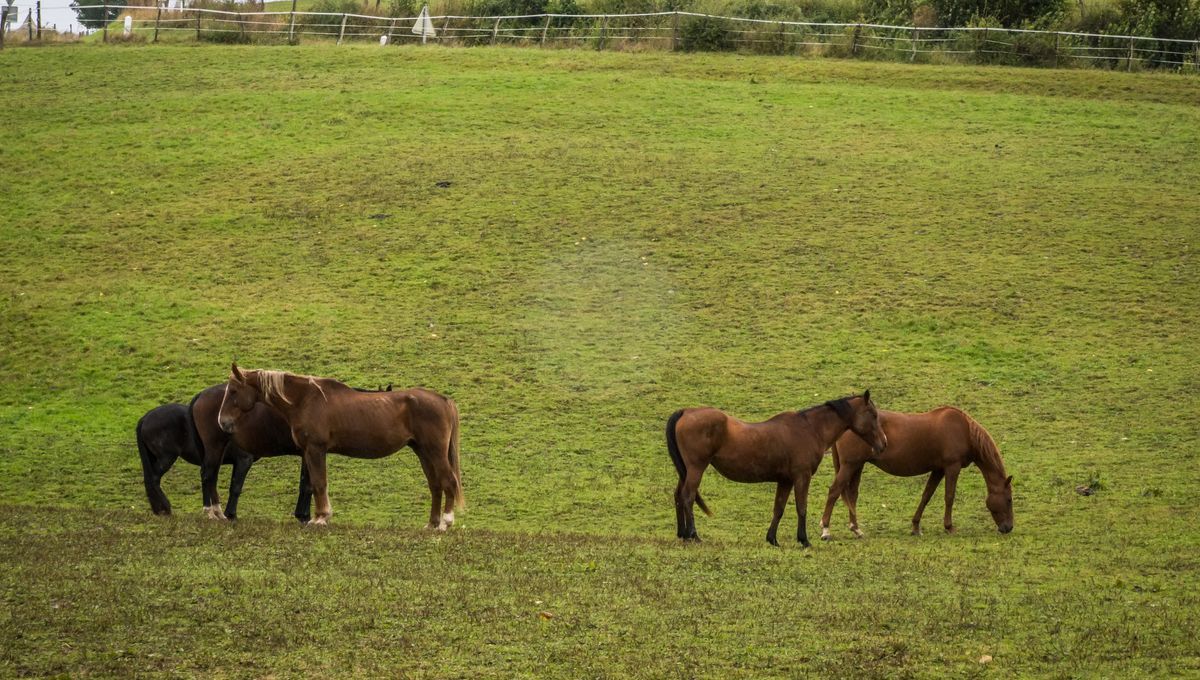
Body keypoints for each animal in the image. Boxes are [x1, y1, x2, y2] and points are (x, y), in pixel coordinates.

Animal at [213, 364, 460, 530]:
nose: (222, 422)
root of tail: (443, 400)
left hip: (435, 452)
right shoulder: (308, 452)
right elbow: (313, 484)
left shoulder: (315, 449)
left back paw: (445, 523)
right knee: (435, 485)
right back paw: (432, 523)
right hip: (423, 452)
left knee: (449, 481)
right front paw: (317, 516)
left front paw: (321, 517)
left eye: (233, 391)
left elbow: (319, 483)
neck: (306, 400)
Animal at [667, 393, 892, 549]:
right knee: (687, 497)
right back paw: (693, 534)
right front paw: (804, 540)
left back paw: (682, 534)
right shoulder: (802, 477)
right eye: (873, 415)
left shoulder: (785, 480)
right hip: (696, 468)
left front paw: (772, 539)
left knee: (678, 495)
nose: (884, 443)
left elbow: (779, 508)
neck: (810, 429)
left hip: (685, 470)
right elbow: (801, 507)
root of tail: (686, 411)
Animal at [816, 407, 1012, 539]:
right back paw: (826, 530)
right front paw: (949, 527)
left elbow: (926, 495)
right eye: (1009, 499)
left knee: (852, 495)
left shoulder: (938, 470)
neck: (964, 430)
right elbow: (949, 496)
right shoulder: (952, 467)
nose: (1008, 527)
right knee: (834, 491)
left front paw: (916, 526)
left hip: (857, 466)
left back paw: (856, 529)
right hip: (849, 466)